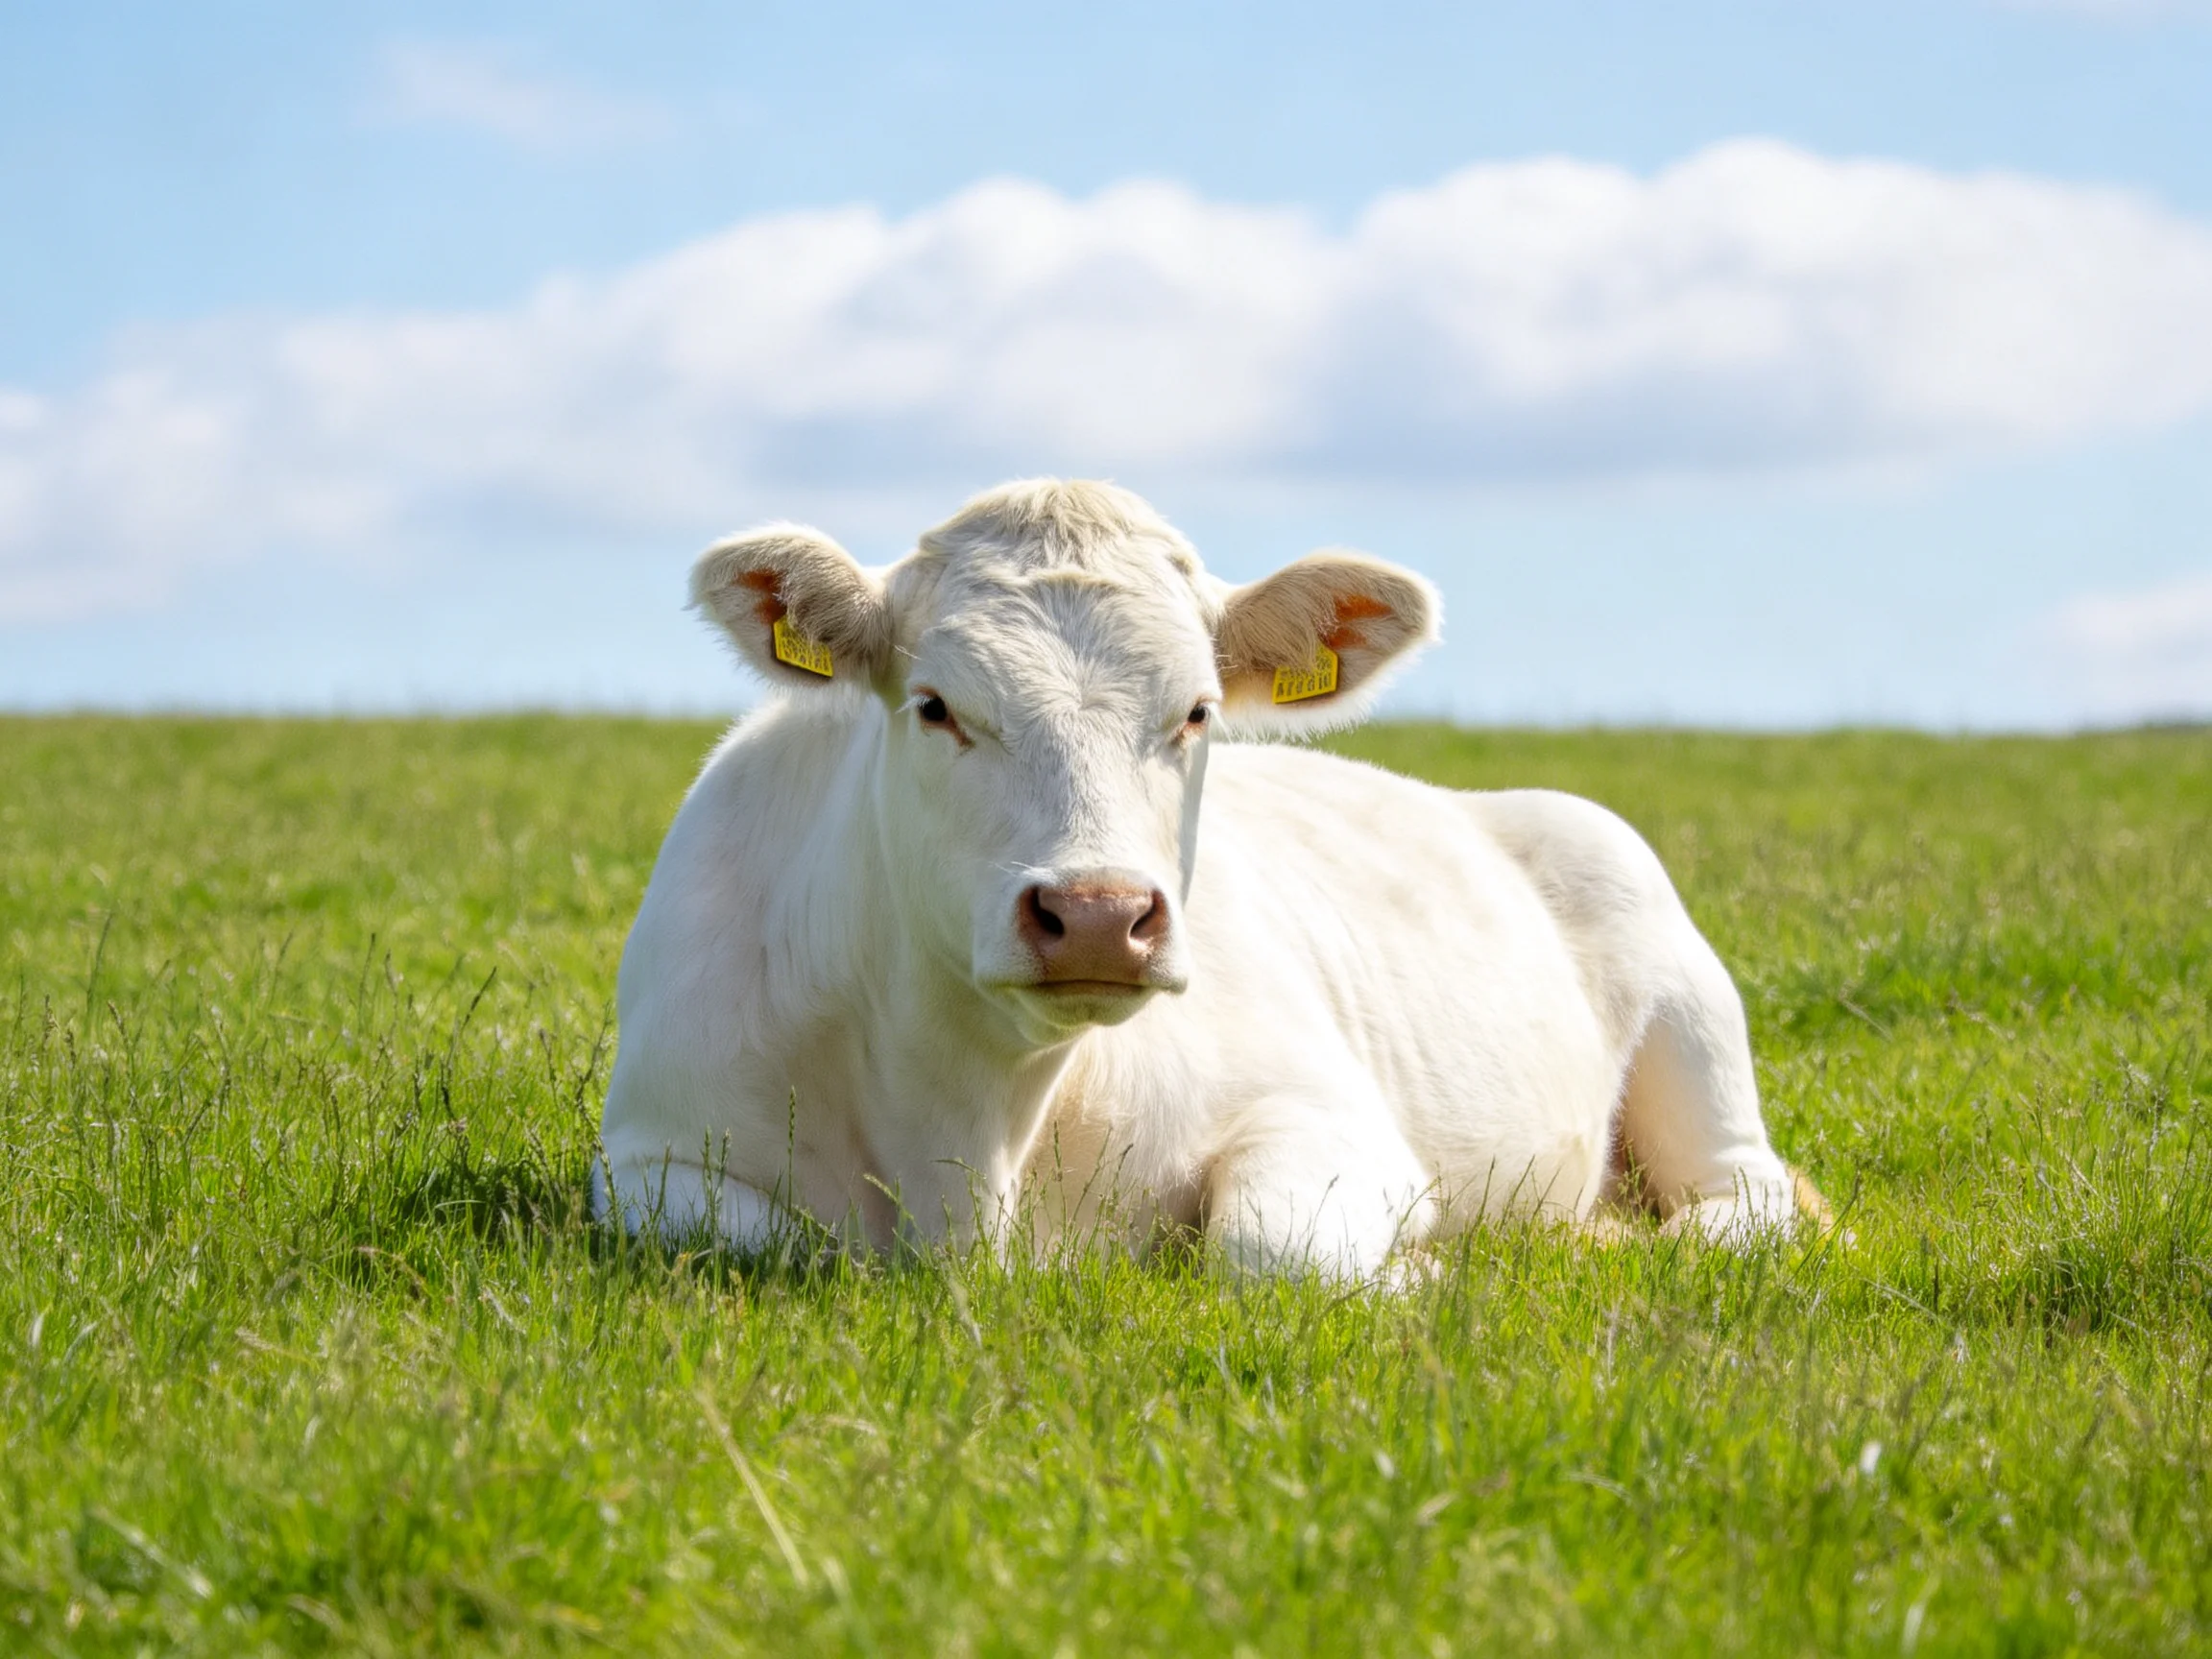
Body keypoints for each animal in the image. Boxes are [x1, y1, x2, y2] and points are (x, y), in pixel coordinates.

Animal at [597, 479, 1825, 1277]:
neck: (974, 1133)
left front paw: (1422, 1270)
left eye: (1194, 712)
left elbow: (1266, 1248)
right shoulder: (645, 1155)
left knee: (1746, 1194)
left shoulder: (1326, 1115)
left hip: (1682, 996)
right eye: (937, 706)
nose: (1098, 915)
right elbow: (773, 1237)